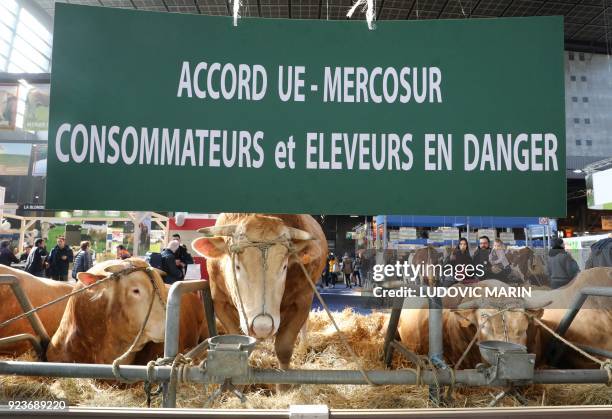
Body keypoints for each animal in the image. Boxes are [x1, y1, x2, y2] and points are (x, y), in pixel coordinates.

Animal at [192, 215, 328, 372]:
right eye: (237, 266)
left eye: (284, 266)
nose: (262, 327)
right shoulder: (220, 303)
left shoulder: (302, 301)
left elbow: (284, 348)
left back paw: (303, 348)